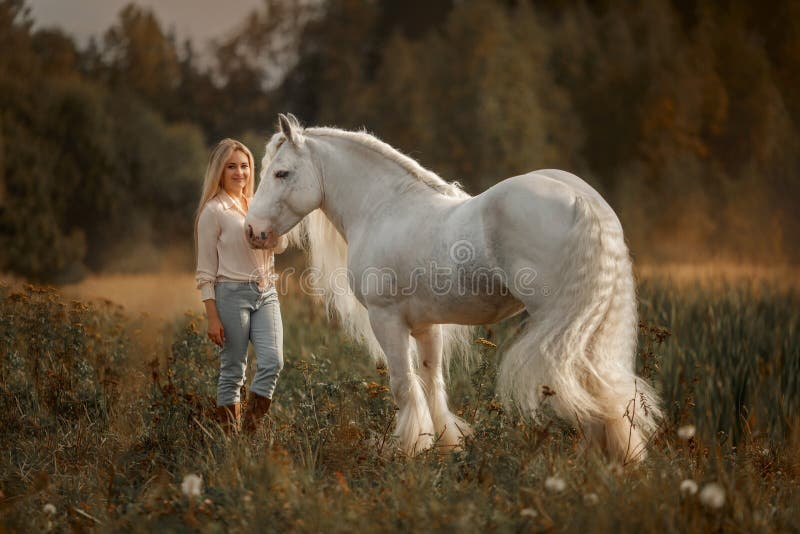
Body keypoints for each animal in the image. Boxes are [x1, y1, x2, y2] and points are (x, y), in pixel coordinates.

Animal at [247, 114, 660, 464]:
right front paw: (444, 445)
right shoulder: (426, 326)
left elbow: (404, 385)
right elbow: (432, 383)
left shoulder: (387, 320)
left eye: (282, 173)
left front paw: (409, 449)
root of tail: (582, 200)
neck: (384, 207)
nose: (253, 232)